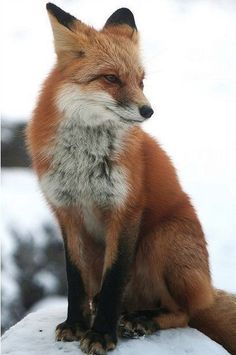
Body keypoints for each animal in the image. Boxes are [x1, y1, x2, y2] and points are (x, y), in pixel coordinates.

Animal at [26, 3, 236, 355]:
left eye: (141, 81)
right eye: (111, 78)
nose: (148, 111)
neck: (84, 163)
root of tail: (207, 289)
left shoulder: (125, 210)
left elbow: (114, 280)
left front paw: (101, 334)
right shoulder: (67, 212)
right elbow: (75, 279)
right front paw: (76, 324)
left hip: (160, 238)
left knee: (184, 312)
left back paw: (142, 319)